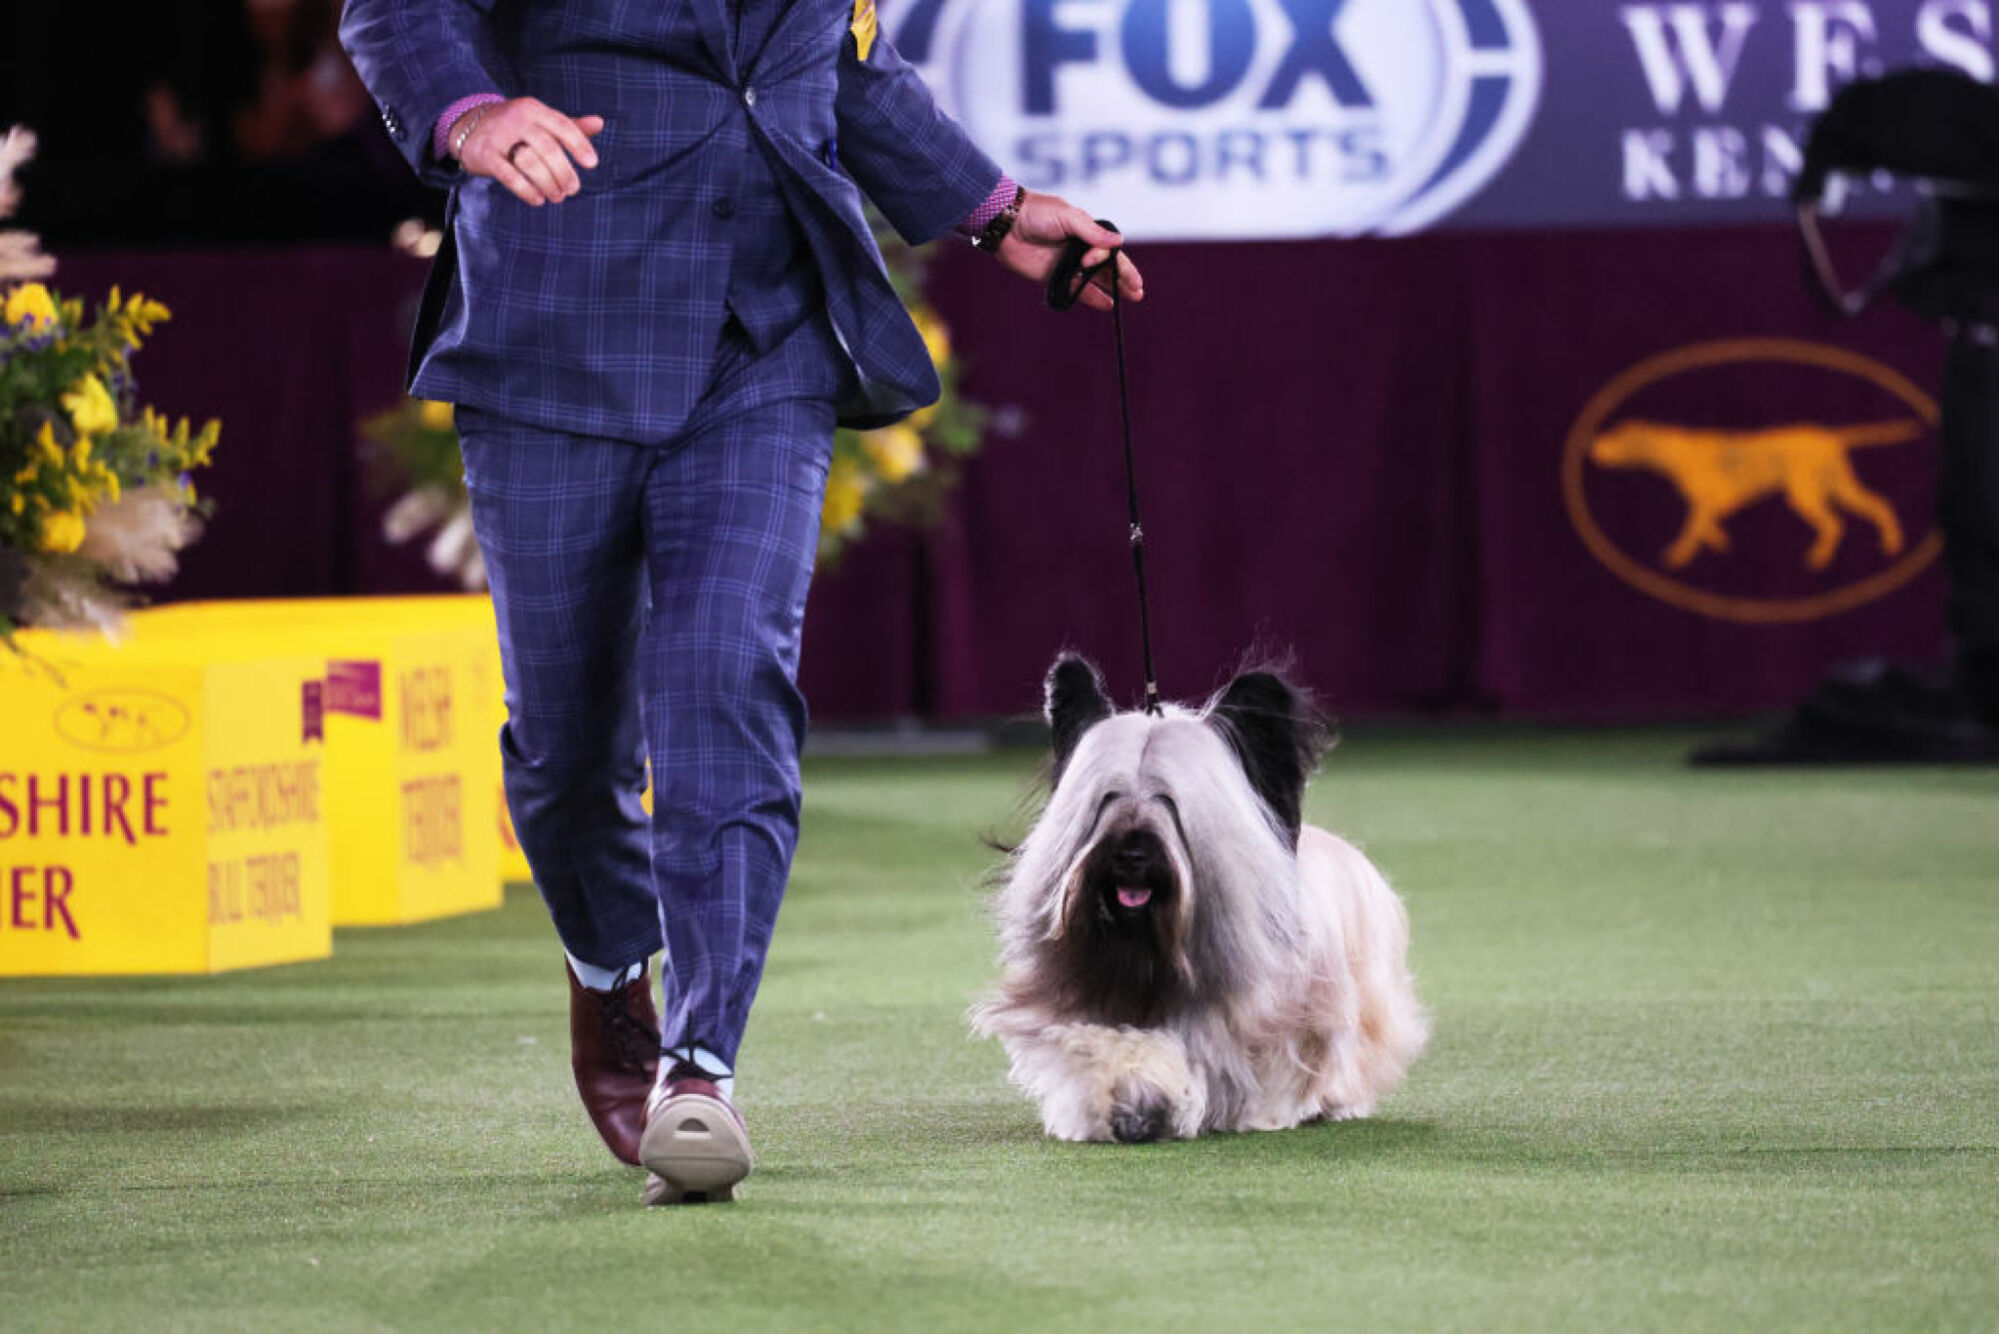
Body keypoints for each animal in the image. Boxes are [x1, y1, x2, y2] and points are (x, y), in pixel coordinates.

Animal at [971, 652, 1423, 1144]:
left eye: (1169, 800)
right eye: (1108, 797)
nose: (1130, 854)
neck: (1148, 947)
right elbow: (1108, 1048)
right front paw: (1130, 1102)